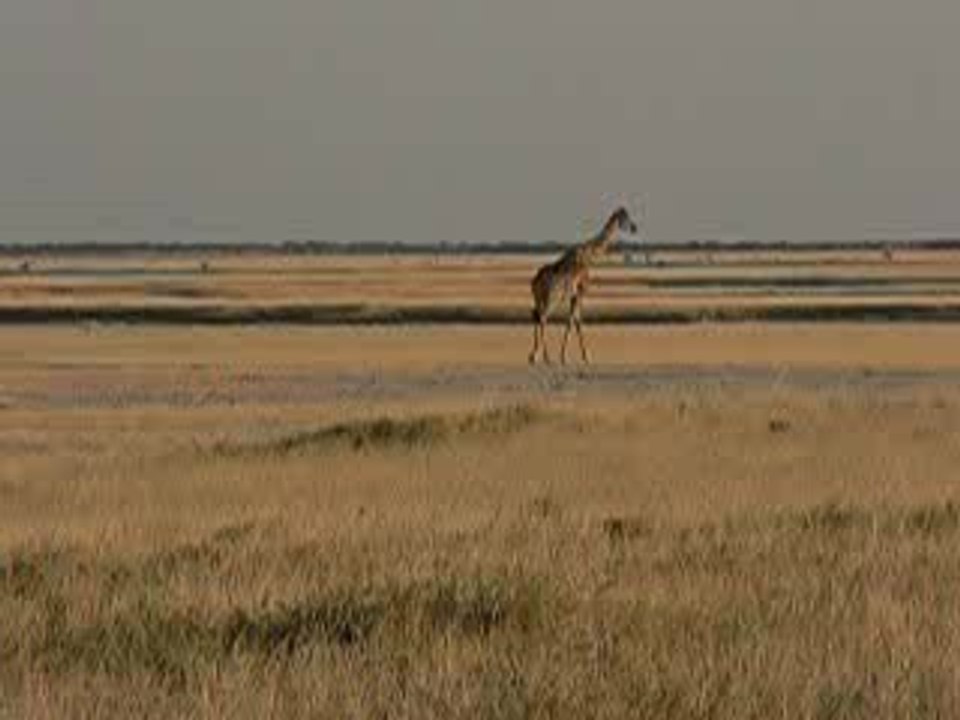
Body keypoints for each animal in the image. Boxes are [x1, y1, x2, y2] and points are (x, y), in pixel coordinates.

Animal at [528, 206, 639, 365]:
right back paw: (545, 357)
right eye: (625, 217)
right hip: (552, 298)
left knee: (536, 316)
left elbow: (571, 321)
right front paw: (583, 357)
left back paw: (533, 356)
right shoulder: (581, 291)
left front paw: (564, 356)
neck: (589, 255)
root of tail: (535, 281)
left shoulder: (573, 295)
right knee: (543, 318)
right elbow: (577, 322)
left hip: (538, 298)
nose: (635, 228)